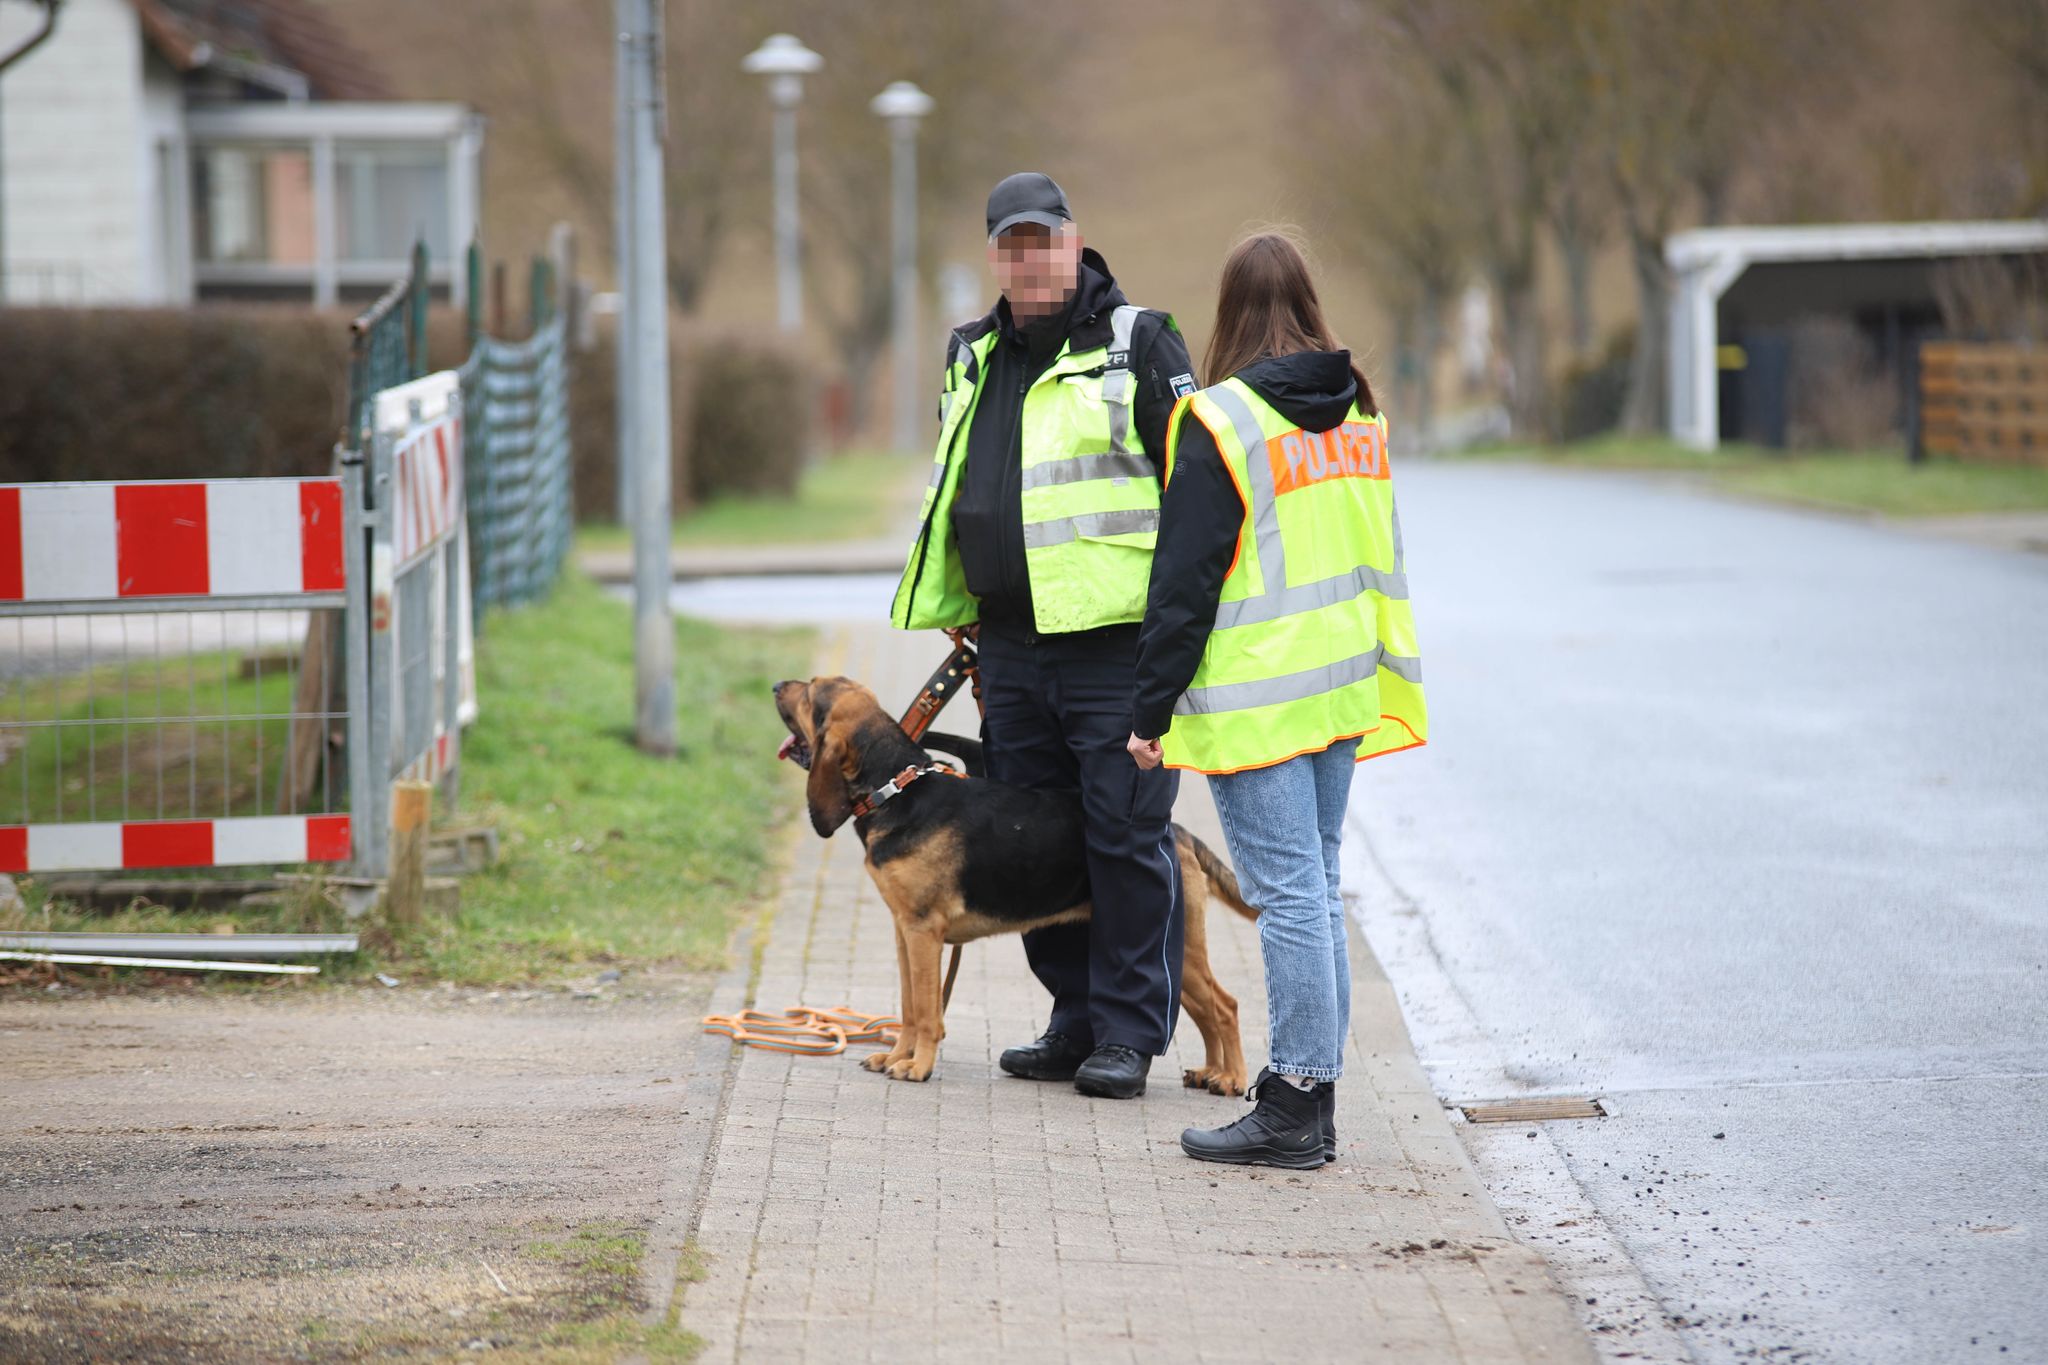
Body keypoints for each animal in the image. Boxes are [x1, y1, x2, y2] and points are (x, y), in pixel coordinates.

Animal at [770, 679, 1253, 1096]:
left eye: (811, 692)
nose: (776, 686)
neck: (897, 789)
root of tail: (1181, 834)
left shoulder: (924, 932)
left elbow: (927, 1012)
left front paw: (918, 1066)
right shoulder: (904, 930)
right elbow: (908, 1007)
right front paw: (895, 1056)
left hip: (1176, 941)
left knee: (1225, 1005)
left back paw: (1231, 1080)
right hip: (1182, 954)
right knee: (1207, 1010)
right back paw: (1210, 1072)